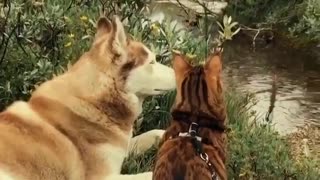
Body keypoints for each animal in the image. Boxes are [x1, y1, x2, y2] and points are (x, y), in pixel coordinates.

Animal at [0, 15, 175, 180]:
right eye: (152, 62)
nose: (181, 71)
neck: (94, 103)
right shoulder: (103, 177)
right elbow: (151, 174)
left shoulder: (121, 148)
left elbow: (156, 132)